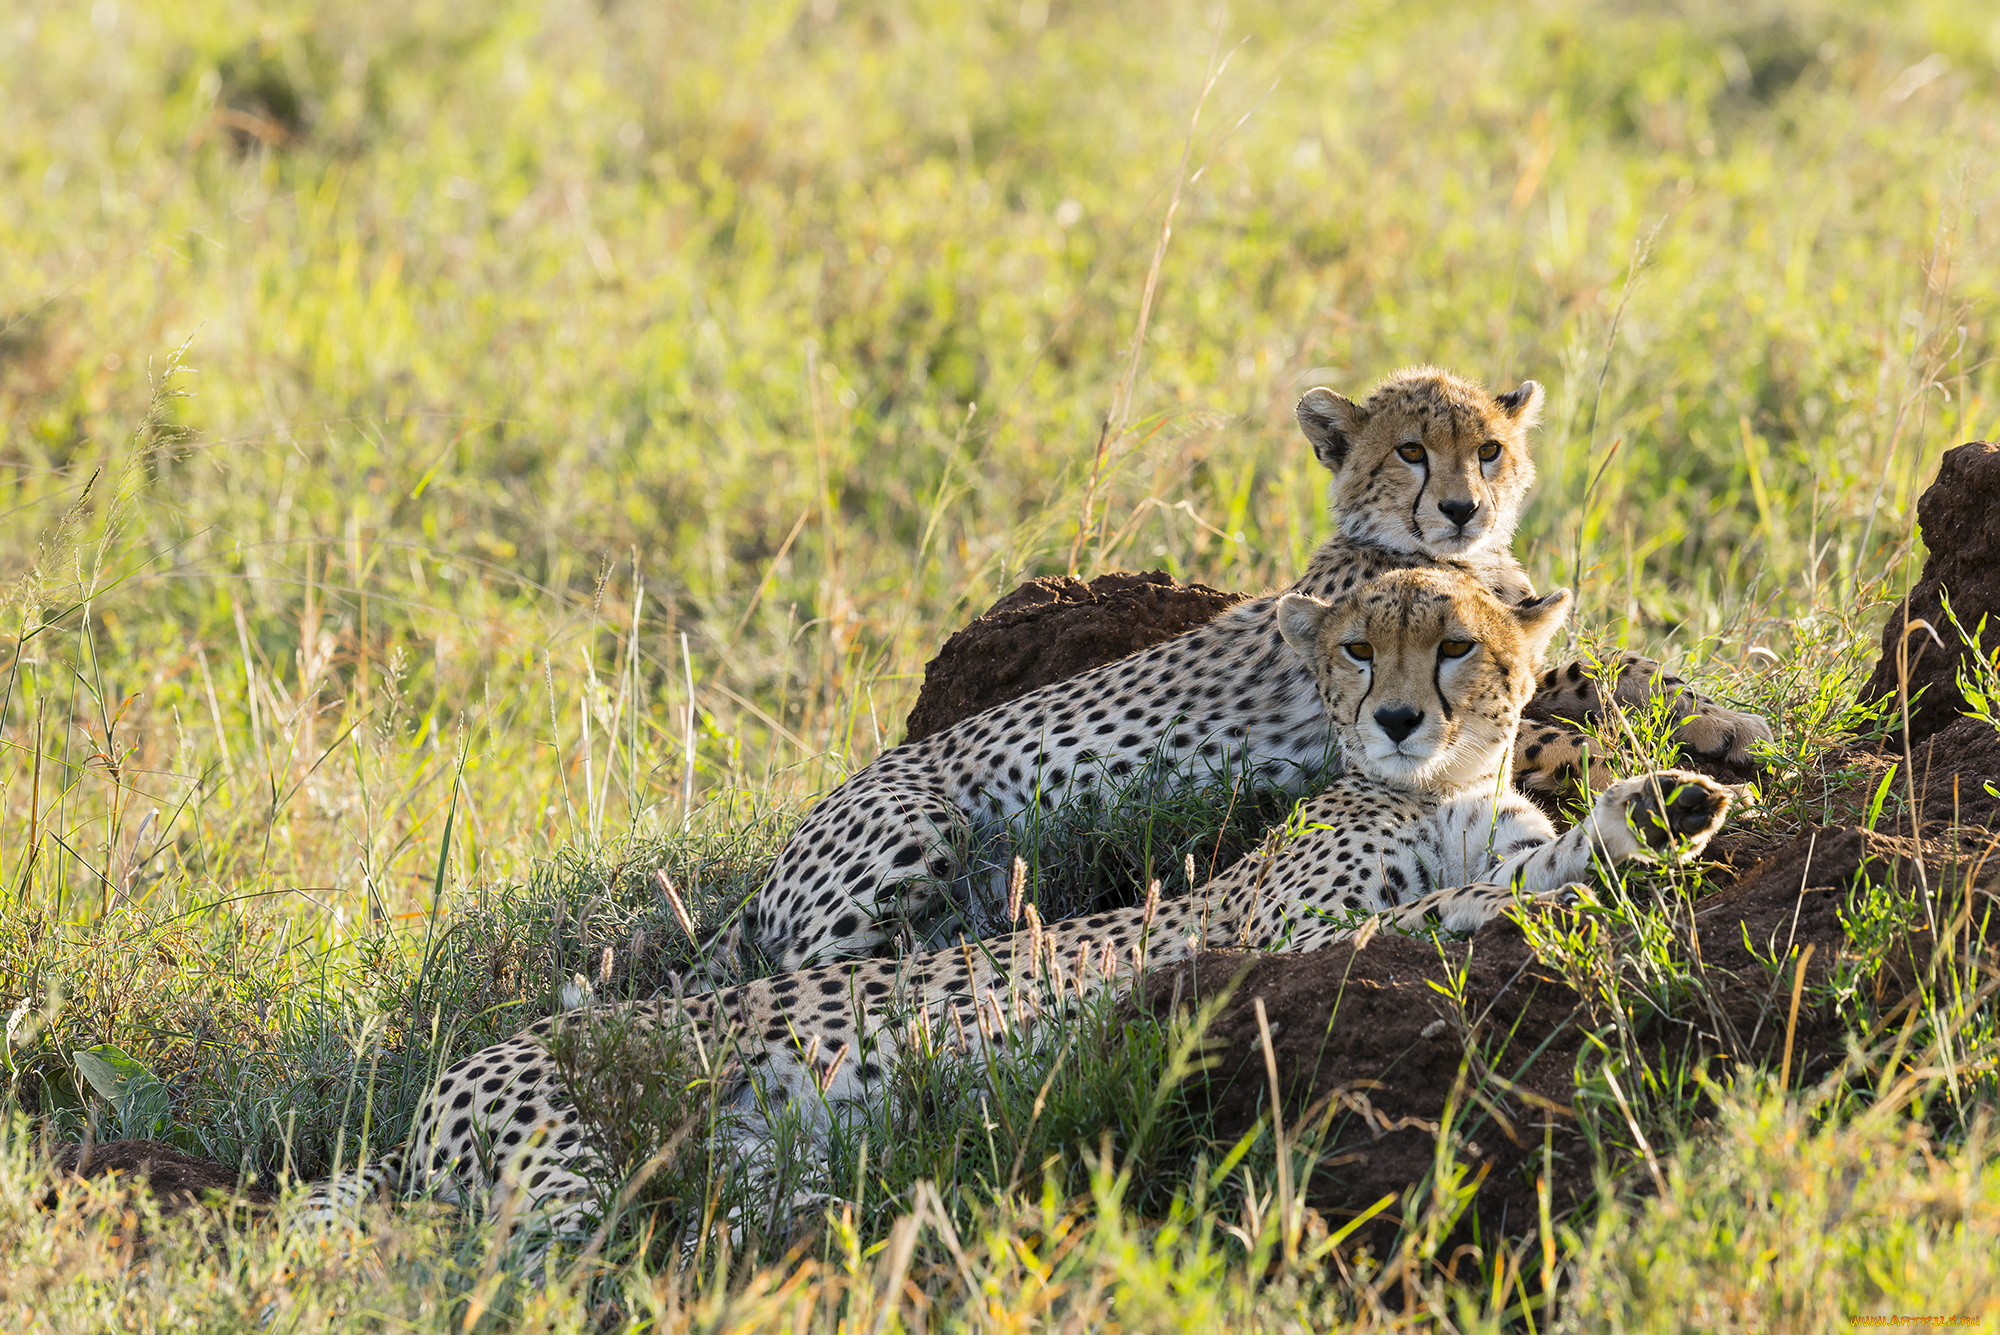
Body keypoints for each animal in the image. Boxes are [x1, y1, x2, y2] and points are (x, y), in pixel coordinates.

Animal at [296, 563, 1736, 1255]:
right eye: (1352, 647)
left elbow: (1543, 869)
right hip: (570, 1156)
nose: (1391, 717)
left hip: (757, 1153)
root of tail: (455, 1076)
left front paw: (1667, 805)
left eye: (1452, 648)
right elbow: (1432, 915)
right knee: (514, 1267)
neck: (1439, 786)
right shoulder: (1265, 945)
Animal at [724, 365, 1768, 971]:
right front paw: (1684, 769)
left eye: (1489, 450)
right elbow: (1555, 732)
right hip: (912, 836)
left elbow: (1608, 664)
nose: (1463, 508)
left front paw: (1725, 722)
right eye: (1412, 450)